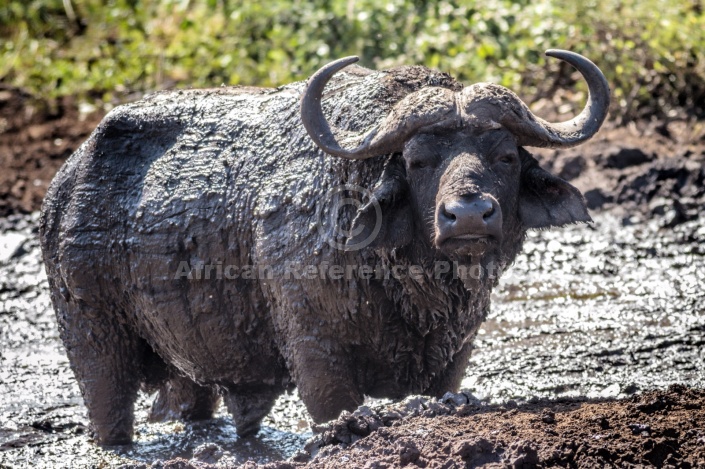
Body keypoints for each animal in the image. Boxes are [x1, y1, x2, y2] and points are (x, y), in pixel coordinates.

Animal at [38, 49, 608, 444]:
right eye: (418, 159)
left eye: (506, 156)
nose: (468, 214)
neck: (405, 282)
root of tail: (65, 184)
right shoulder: (317, 356)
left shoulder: (454, 358)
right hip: (92, 337)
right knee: (109, 408)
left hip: (188, 366)